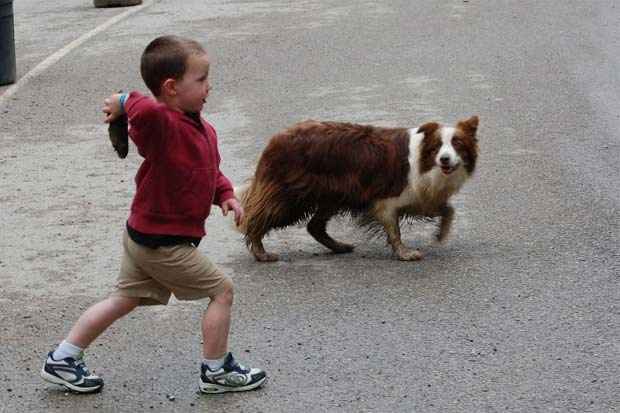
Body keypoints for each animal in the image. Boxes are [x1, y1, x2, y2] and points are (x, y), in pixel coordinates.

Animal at [237, 116, 480, 260]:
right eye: (438, 146)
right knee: (254, 218)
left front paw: (441, 233)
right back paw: (260, 252)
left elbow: (448, 209)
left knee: (314, 226)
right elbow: (394, 230)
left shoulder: (420, 196)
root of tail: (277, 138)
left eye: (457, 143)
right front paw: (405, 253)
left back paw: (338, 246)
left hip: (331, 195)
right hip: (290, 195)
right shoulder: (387, 200)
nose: (445, 160)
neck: (424, 162)